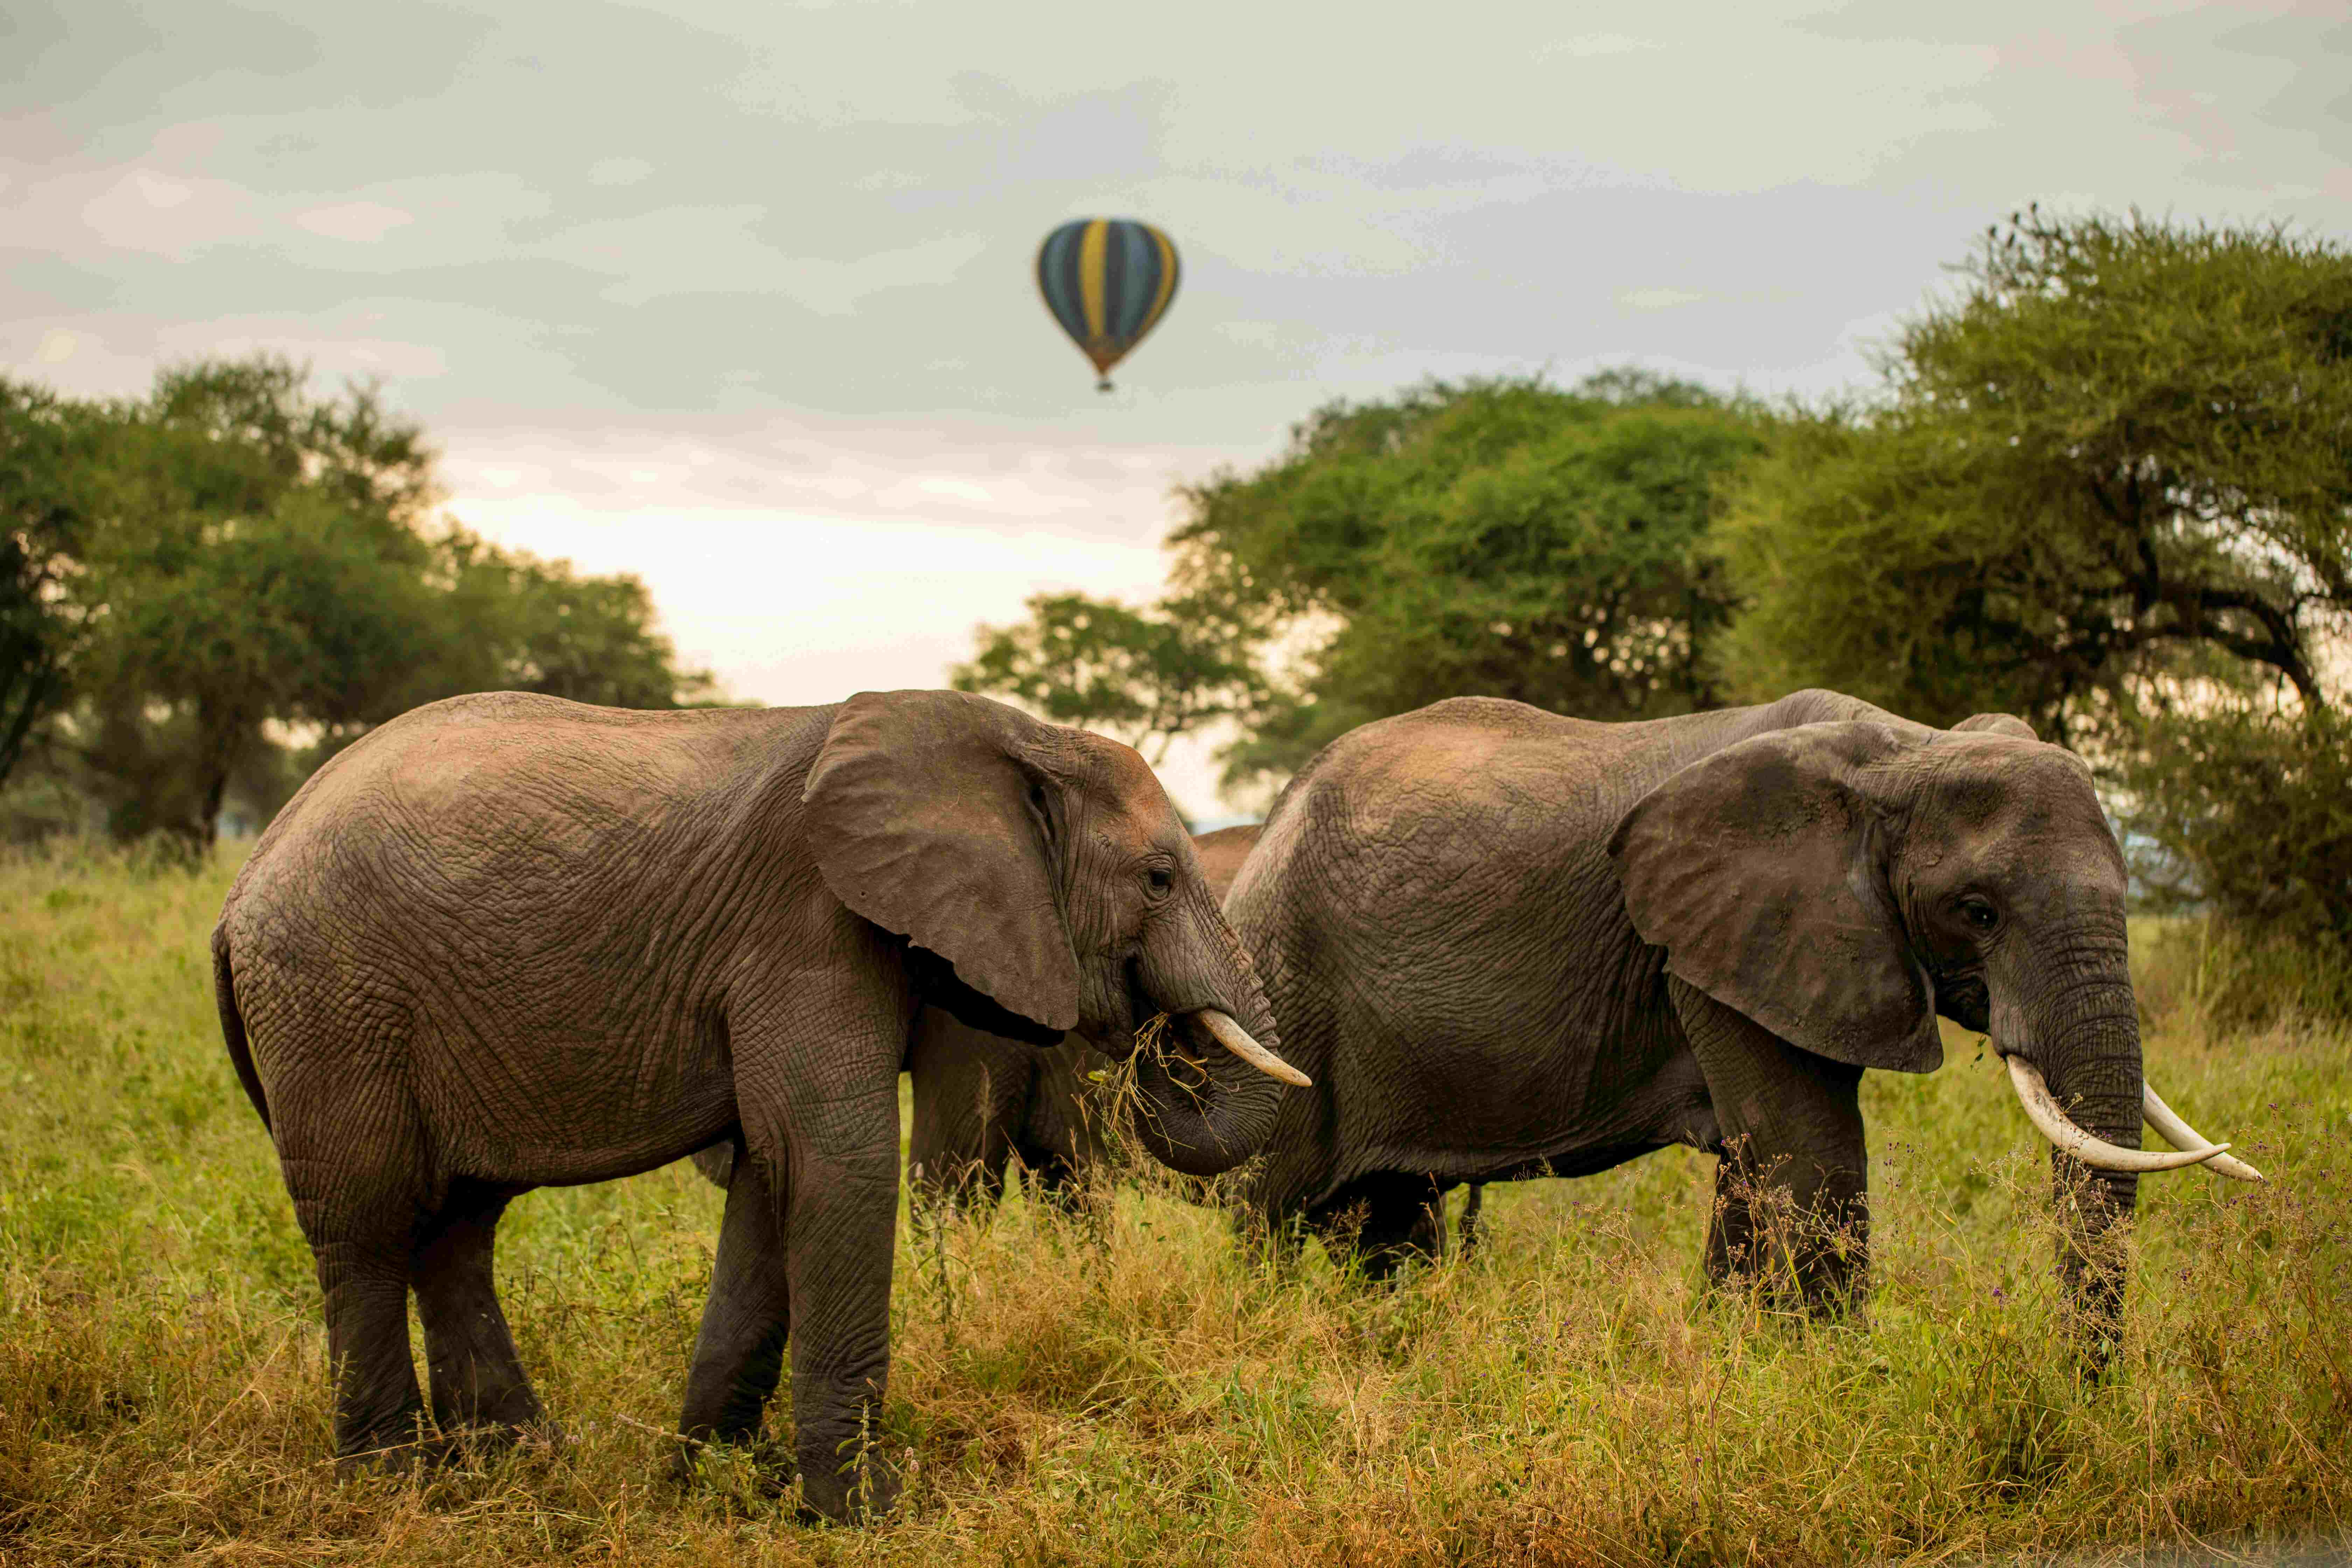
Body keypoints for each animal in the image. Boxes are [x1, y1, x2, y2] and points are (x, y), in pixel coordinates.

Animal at [210, 688, 1306, 1522]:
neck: (1007, 733)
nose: (1155, 1039)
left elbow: (770, 1179)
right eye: (1159, 877)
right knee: (366, 1227)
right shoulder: (810, 930)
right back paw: (395, 1485)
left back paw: (523, 1462)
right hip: (332, 1004)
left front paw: (720, 1481)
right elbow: (837, 1161)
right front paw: (868, 1511)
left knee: (458, 1226)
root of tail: (246, 878)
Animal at [1224, 687, 2258, 1315]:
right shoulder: (1714, 941)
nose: (2090, 1393)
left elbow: (1757, 1170)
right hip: (1284, 994)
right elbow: (1815, 1162)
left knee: (1389, 1226)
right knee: (1267, 1216)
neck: (1903, 749)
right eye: (1979, 912)